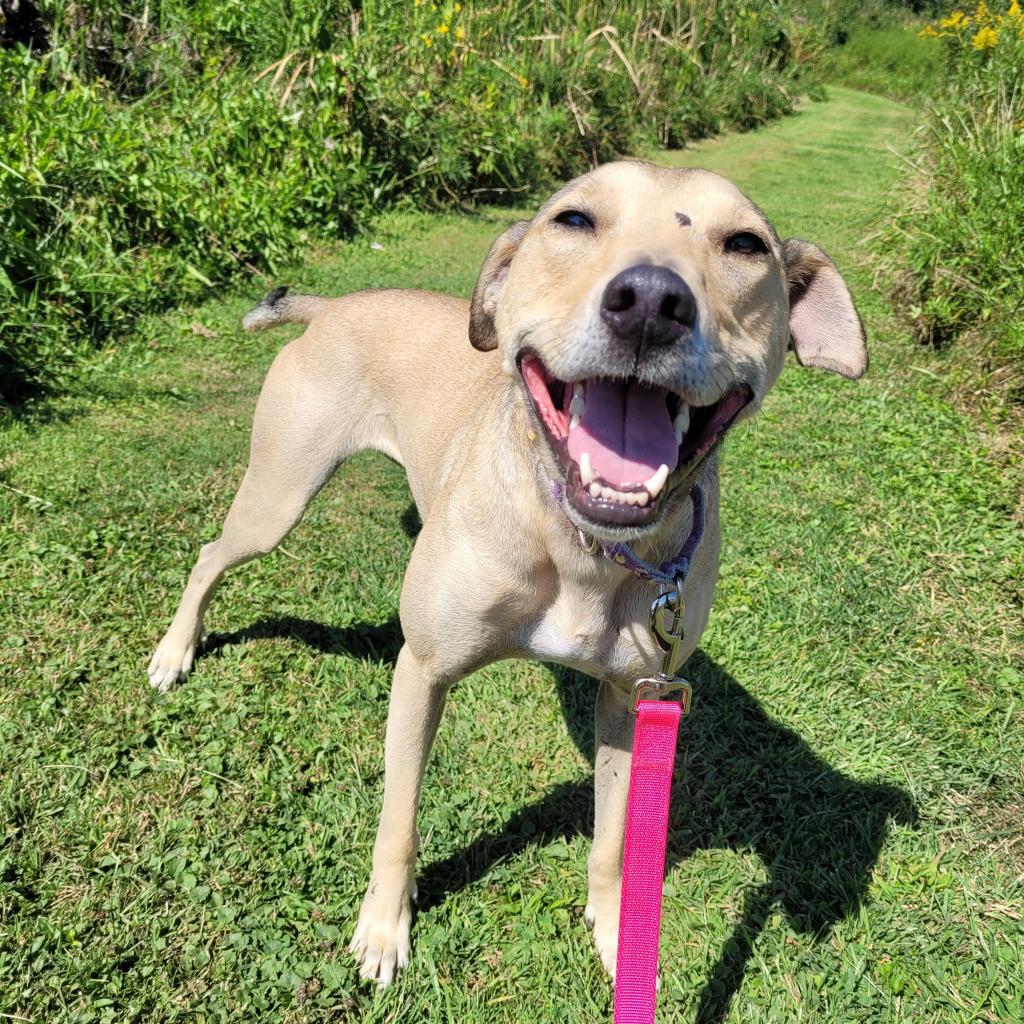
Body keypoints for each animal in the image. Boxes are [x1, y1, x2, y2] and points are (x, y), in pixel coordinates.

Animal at [146, 159, 864, 983]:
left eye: (745, 244)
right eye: (573, 220)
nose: (651, 303)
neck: (579, 544)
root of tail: (334, 306)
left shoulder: (633, 698)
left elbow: (615, 834)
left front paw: (618, 932)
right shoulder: (422, 671)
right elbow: (398, 820)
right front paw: (384, 930)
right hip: (279, 493)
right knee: (210, 556)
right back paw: (175, 652)